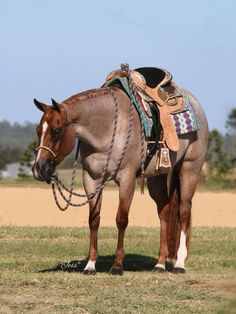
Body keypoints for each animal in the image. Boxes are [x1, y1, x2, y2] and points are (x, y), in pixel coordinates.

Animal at [31, 69, 208, 274]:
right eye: (38, 130)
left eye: (56, 130)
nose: (39, 168)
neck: (107, 128)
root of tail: (196, 105)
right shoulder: (91, 178)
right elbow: (94, 220)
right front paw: (90, 265)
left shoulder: (127, 179)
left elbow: (121, 219)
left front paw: (117, 265)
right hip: (157, 177)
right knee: (164, 213)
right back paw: (160, 263)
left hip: (189, 170)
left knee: (184, 211)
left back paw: (179, 263)